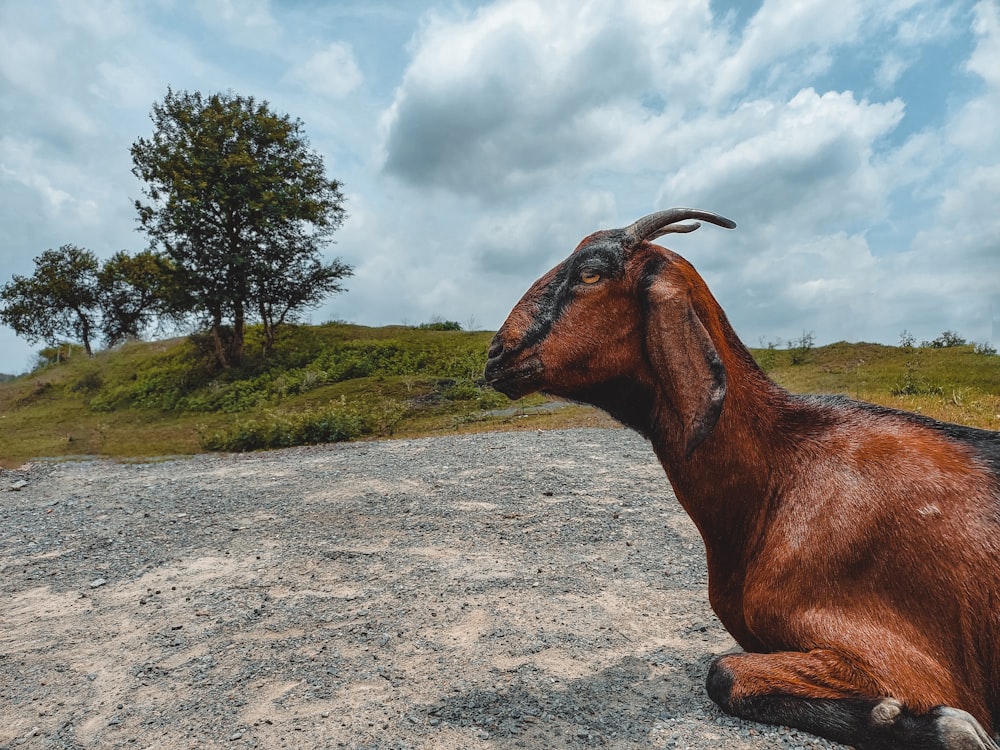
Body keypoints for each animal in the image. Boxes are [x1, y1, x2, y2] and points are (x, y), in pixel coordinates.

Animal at [484, 209, 1000, 750]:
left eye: (590, 273)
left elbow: (724, 674)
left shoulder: (899, 656)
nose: (495, 355)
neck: (781, 473)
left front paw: (941, 727)